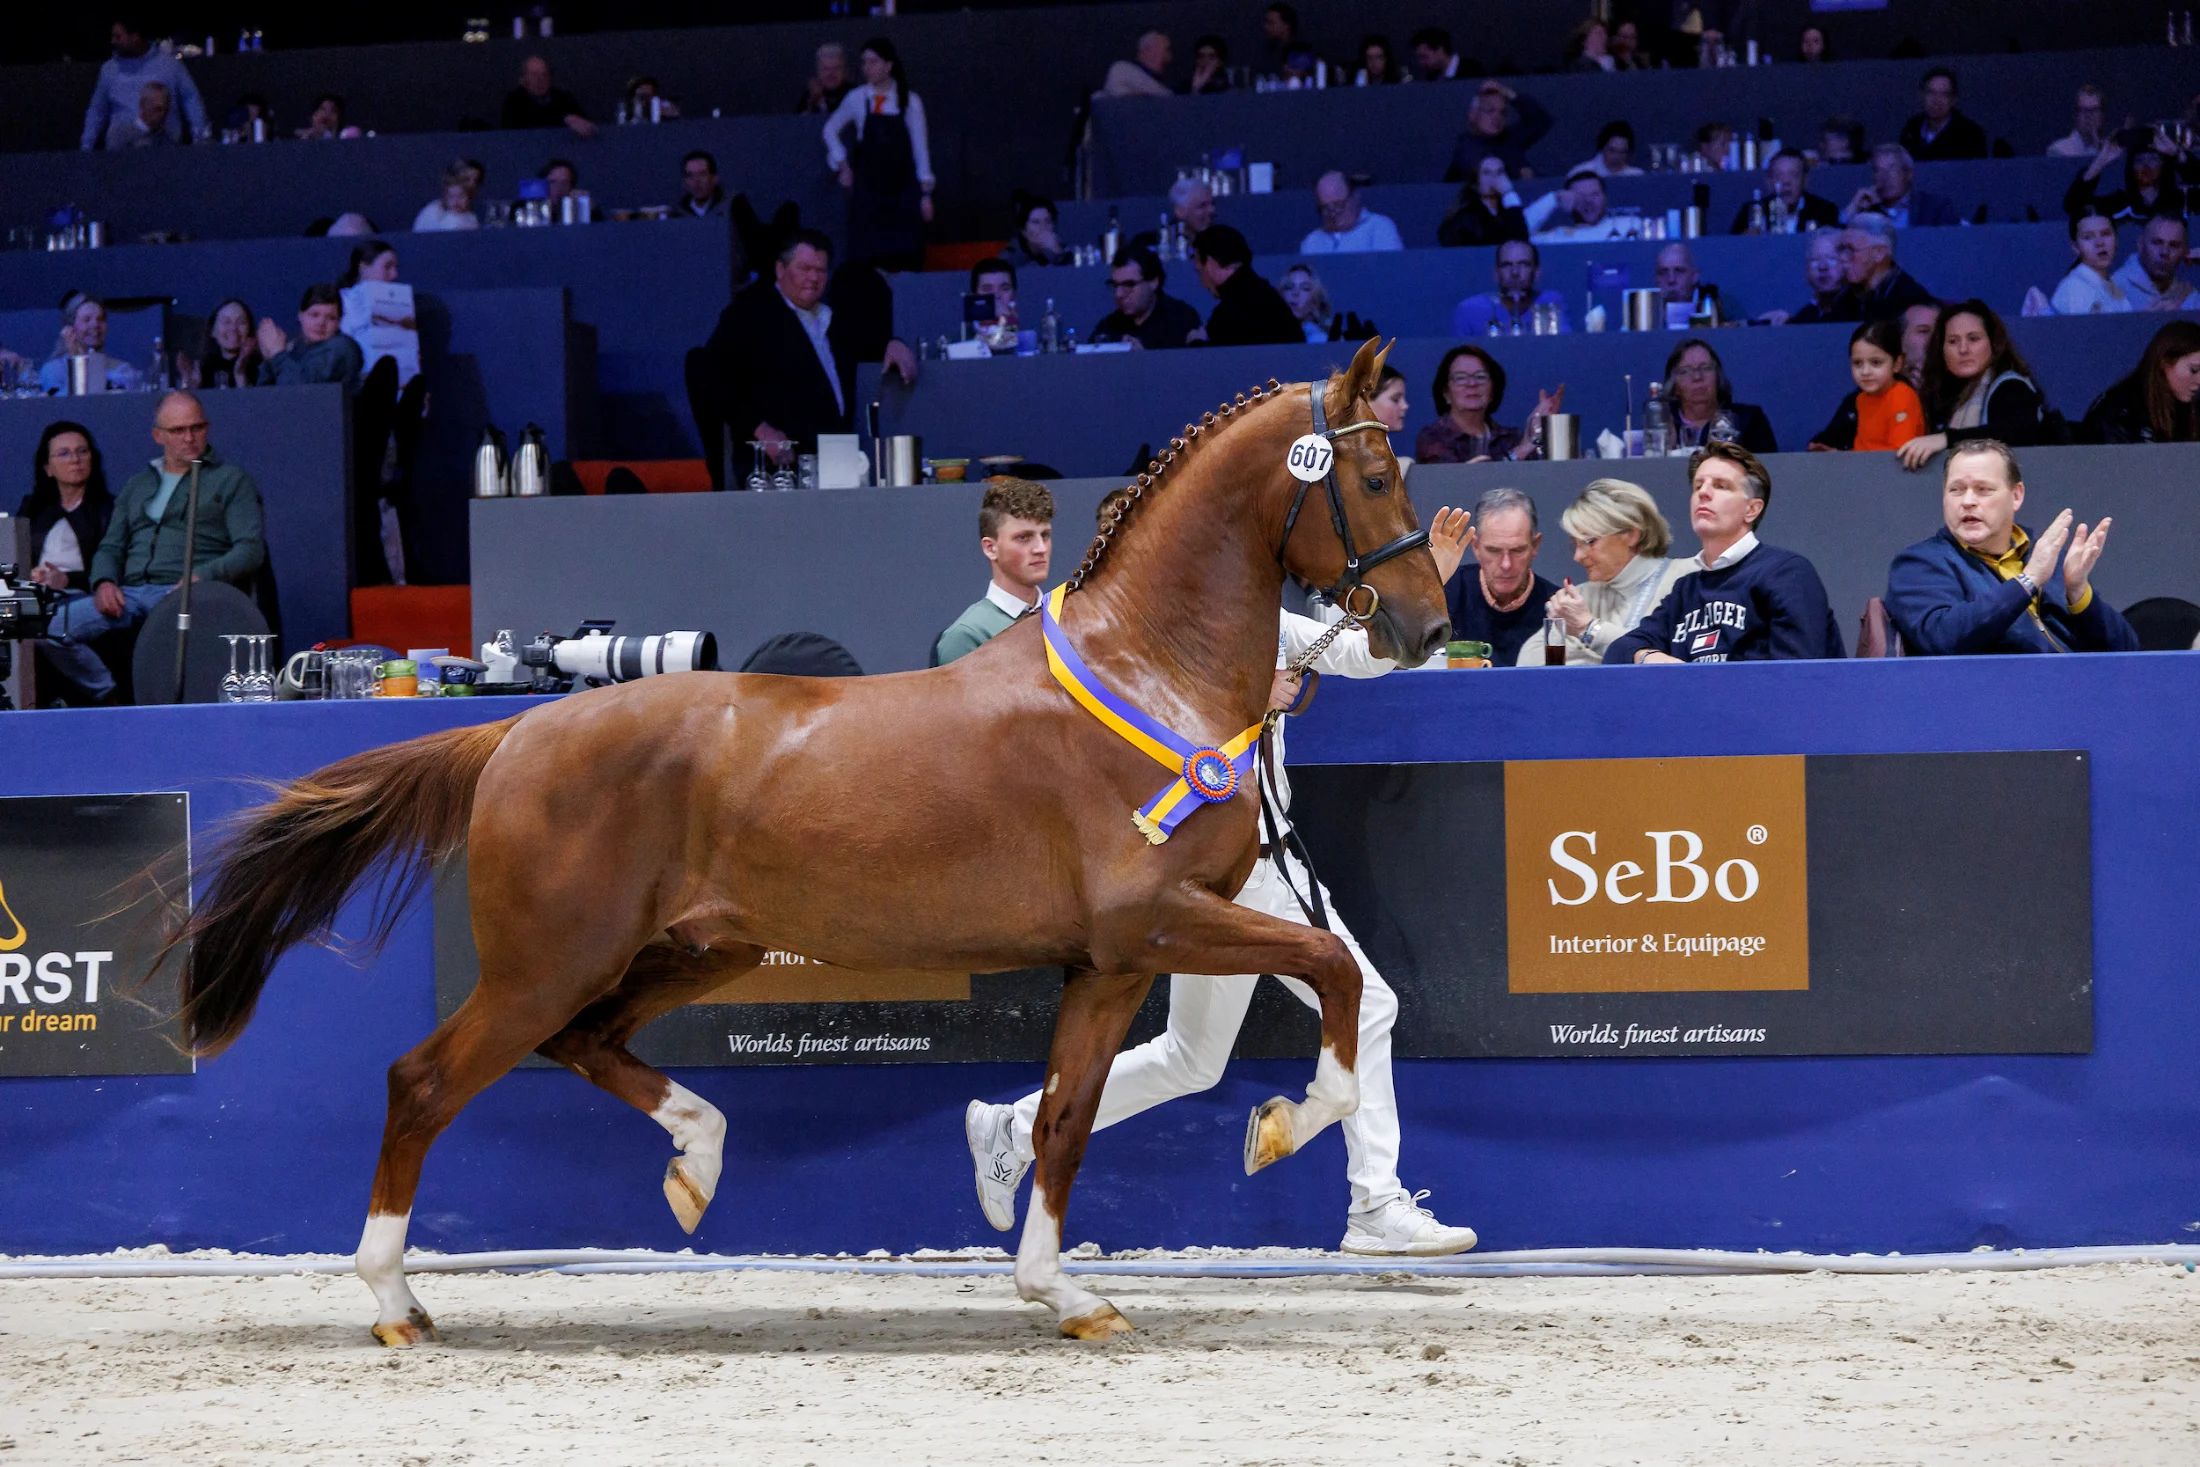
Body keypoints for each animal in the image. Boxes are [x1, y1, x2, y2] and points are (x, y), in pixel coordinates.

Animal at [163, 337, 1450, 1344]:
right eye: (1376, 470)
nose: (1429, 629)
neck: (1145, 672)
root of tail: (516, 728)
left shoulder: (1111, 961)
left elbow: (1064, 1120)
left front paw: (1062, 1293)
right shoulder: (1161, 923)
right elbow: (1333, 976)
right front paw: (1280, 1128)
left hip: (689, 951)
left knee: (587, 1044)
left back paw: (695, 1164)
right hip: (548, 962)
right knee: (425, 1080)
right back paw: (396, 1300)